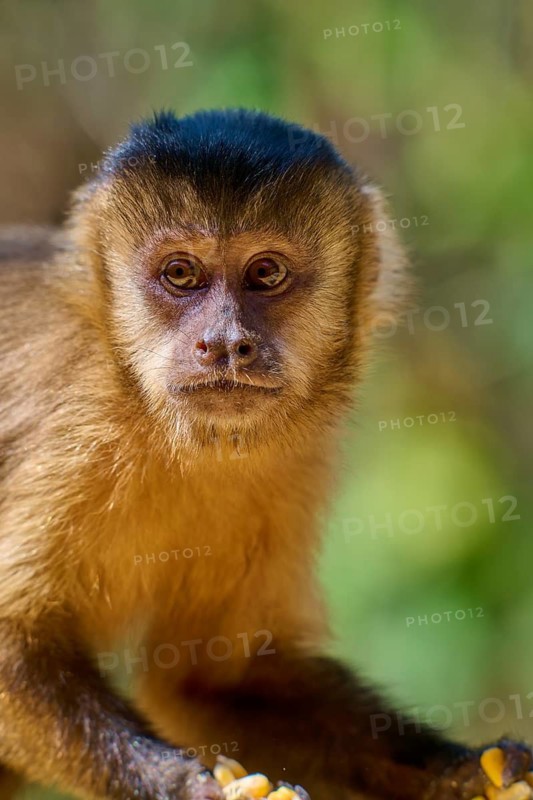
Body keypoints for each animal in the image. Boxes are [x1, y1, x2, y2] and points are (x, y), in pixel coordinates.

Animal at [0, 108, 530, 800]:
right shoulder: (73, 424)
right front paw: (186, 786)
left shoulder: (293, 462)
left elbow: (217, 684)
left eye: (266, 273)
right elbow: (12, 644)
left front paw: (461, 771)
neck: (147, 412)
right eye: (180, 274)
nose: (226, 343)